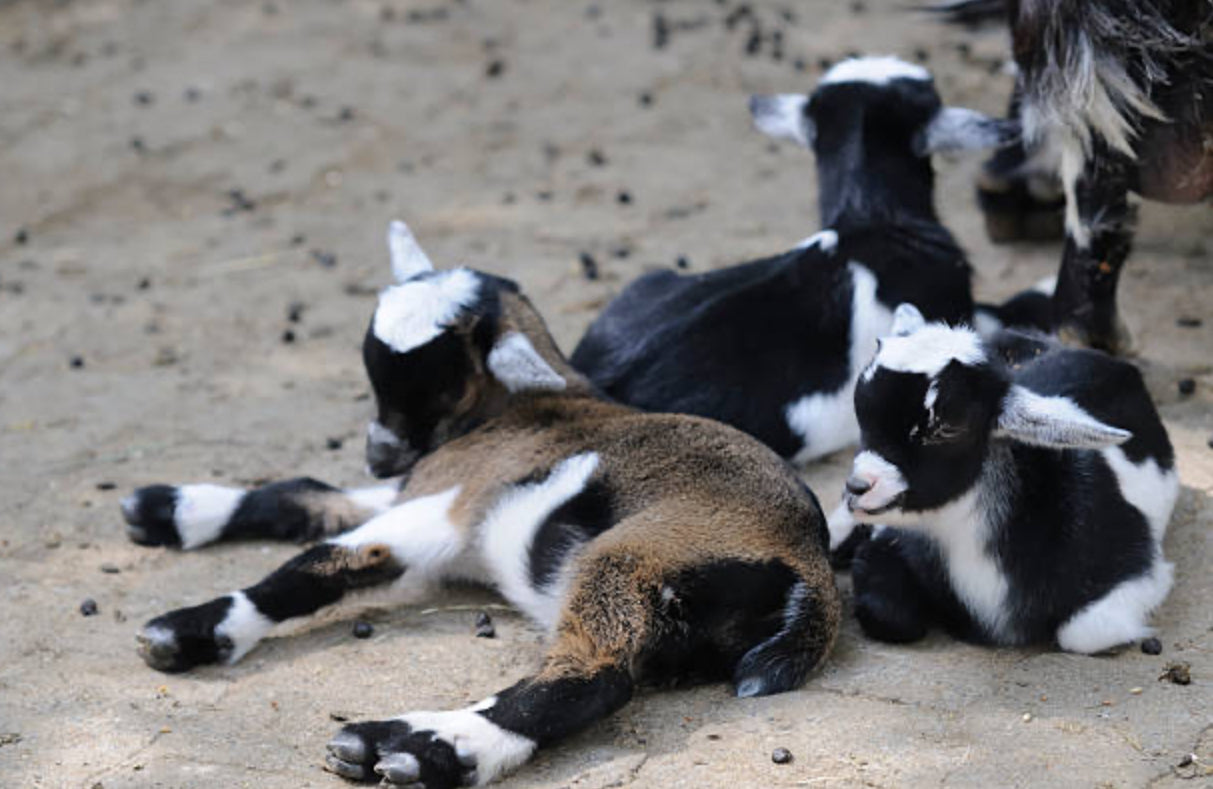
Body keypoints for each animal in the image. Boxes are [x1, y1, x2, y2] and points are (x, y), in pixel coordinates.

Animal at [120, 220, 840, 788]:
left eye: (436, 379)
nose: (379, 451)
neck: (517, 406)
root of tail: (810, 566)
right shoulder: (422, 484)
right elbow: (304, 496)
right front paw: (166, 508)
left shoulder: (451, 502)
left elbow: (319, 564)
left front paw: (189, 631)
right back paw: (386, 744)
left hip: (633, 555)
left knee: (595, 674)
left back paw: (424, 749)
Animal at [827, 303, 1179, 653]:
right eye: (862, 414)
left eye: (947, 428)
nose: (857, 487)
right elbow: (890, 616)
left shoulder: (1136, 563)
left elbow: (1084, 632)